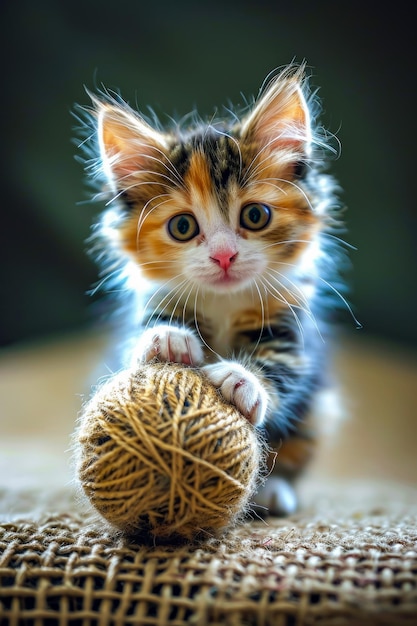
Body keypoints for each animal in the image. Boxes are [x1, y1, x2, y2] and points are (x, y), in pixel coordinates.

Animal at [78, 63, 352, 516]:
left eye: (255, 216)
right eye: (182, 226)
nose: (224, 256)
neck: (225, 302)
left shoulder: (292, 326)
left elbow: (282, 368)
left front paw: (243, 379)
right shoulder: (153, 300)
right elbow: (143, 338)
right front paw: (169, 338)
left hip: (320, 411)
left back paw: (272, 491)